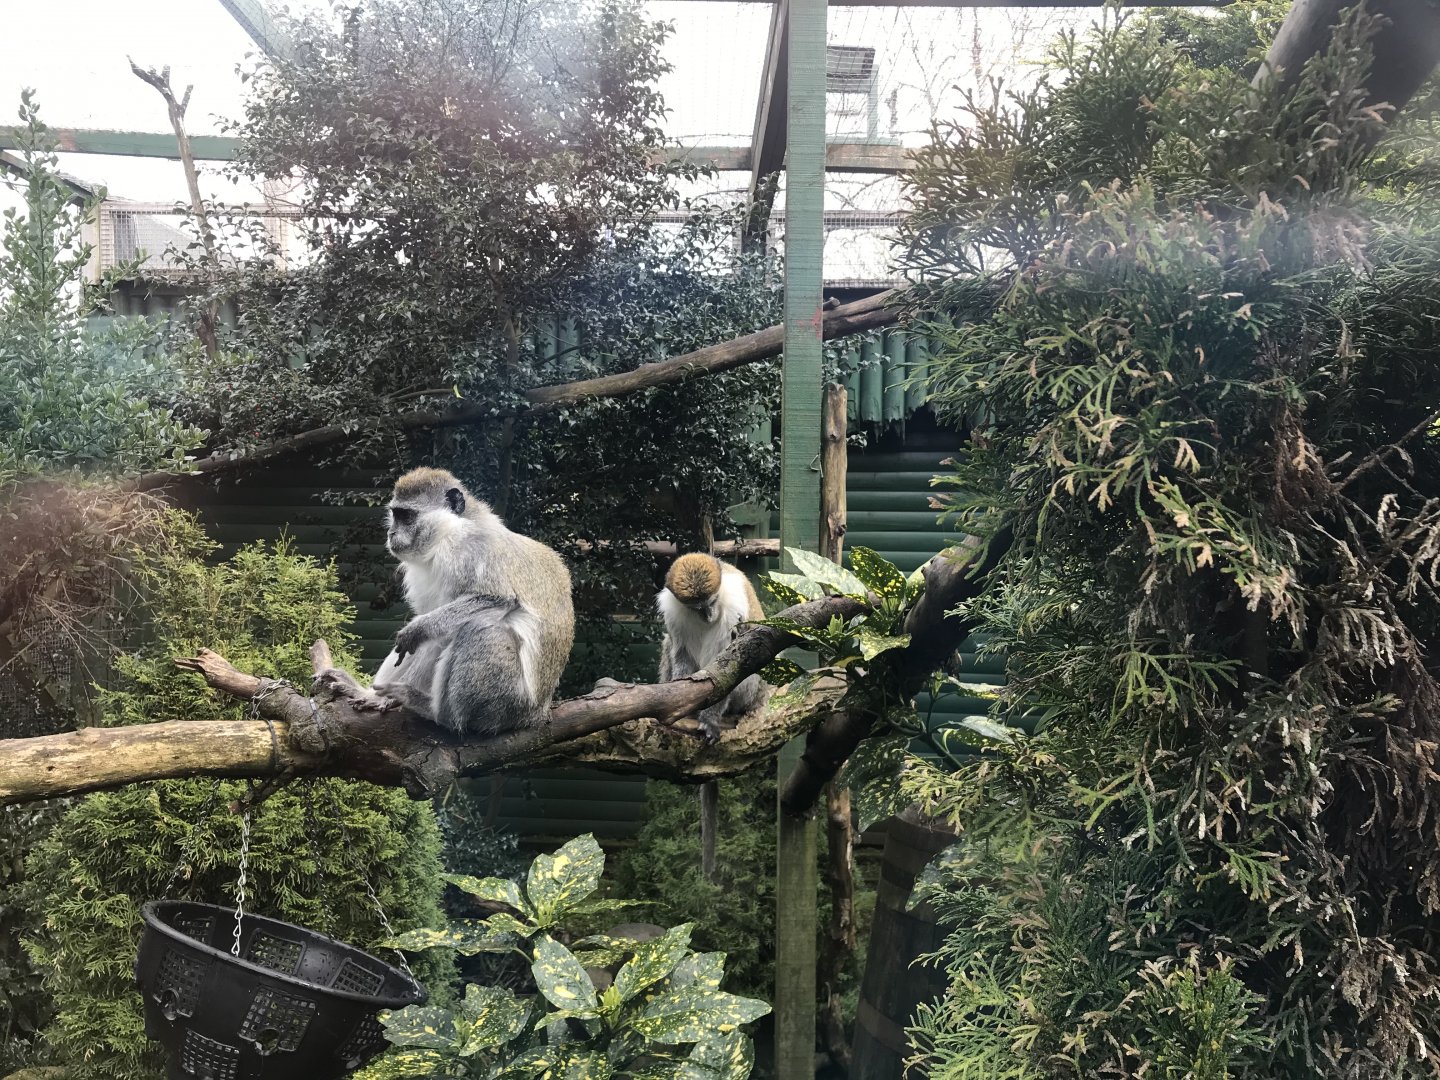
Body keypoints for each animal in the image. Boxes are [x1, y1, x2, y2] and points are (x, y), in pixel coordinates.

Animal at [362, 467, 574, 737]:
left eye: (407, 517)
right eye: (395, 515)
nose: (391, 534)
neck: (448, 531)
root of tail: (537, 713)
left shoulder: (470, 549)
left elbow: (498, 599)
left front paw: (416, 630)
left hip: (508, 705)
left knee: (479, 628)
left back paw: (438, 714)